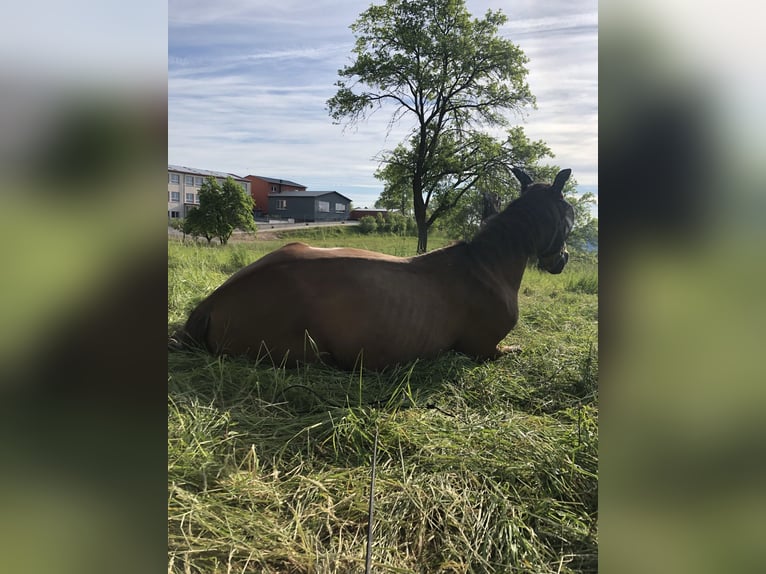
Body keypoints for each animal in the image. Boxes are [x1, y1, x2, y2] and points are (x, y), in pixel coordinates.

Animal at [178, 169, 576, 372]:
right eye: (569, 214)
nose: (562, 260)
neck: (486, 265)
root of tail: (211, 304)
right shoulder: (484, 350)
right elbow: (513, 350)